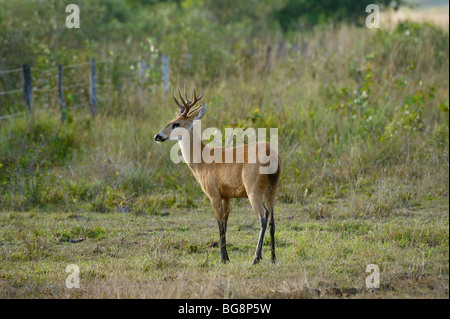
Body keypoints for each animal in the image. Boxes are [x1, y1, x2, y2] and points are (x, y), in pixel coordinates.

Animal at [155, 85, 282, 264]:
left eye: (175, 123)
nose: (157, 136)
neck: (202, 161)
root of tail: (273, 155)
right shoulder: (227, 196)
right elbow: (226, 223)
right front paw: (226, 257)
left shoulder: (213, 194)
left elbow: (219, 223)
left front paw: (223, 258)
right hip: (272, 188)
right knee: (272, 219)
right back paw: (273, 258)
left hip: (253, 189)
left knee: (263, 216)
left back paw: (256, 258)